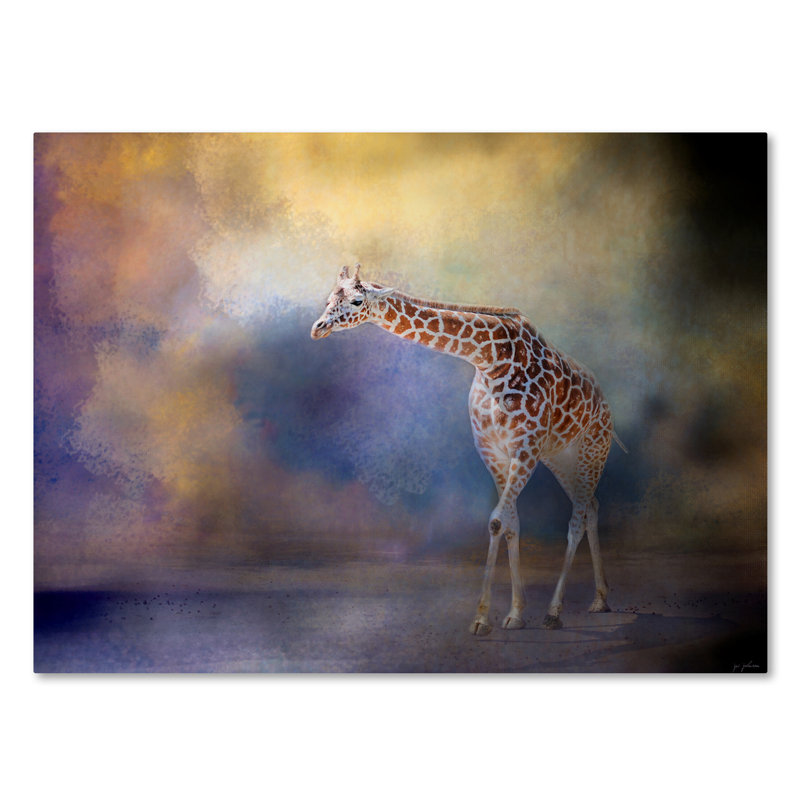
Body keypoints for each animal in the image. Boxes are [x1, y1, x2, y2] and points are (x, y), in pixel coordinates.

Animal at [311, 264, 625, 635]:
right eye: (329, 298)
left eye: (357, 301)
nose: (318, 328)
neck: (490, 359)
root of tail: (606, 405)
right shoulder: (493, 451)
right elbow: (511, 523)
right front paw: (514, 613)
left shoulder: (525, 449)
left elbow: (496, 521)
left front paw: (482, 617)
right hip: (561, 458)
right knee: (591, 505)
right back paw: (600, 599)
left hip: (592, 451)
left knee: (577, 517)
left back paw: (554, 611)